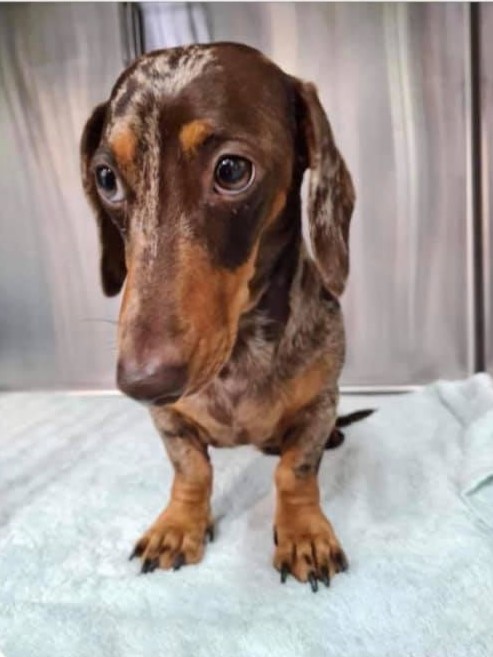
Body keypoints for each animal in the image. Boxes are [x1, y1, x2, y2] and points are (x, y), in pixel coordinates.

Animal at [80, 43, 362, 592]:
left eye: (232, 171)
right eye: (106, 179)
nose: (143, 383)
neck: (241, 353)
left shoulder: (321, 403)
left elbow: (296, 471)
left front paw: (304, 534)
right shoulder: (169, 421)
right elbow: (192, 471)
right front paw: (178, 526)